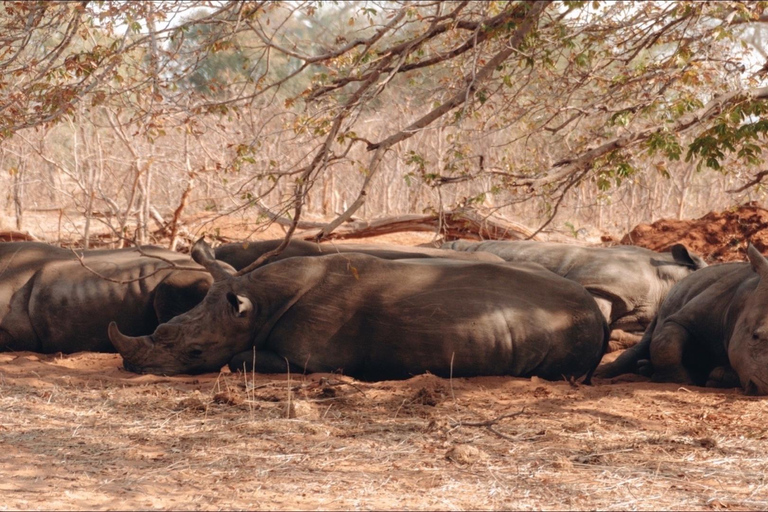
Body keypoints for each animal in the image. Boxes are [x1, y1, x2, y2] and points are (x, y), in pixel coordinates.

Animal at [109, 240, 609, 382]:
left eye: (195, 352)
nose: (131, 368)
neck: (257, 304)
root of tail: (599, 313)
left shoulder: (306, 358)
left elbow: (239, 357)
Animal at [594, 245, 768, 395]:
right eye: (754, 336)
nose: (763, 387)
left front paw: (717, 376)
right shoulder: (687, 316)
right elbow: (666, 342)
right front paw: (678, 379)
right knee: (648, 339)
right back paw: (602, 374)